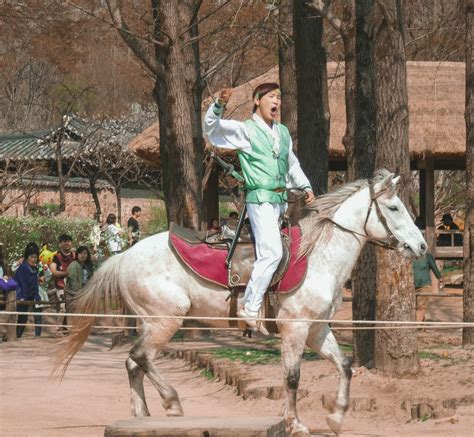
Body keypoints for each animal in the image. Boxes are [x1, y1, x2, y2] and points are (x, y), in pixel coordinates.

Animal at [55, 169, 426, 434]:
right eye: (394, 207)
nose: (421, 246)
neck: (318, 256)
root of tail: (124, 256)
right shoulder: (295, 329)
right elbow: (292, 377)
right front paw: (295, 424)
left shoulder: (317, 330)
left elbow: (345, 365)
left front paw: (335, 417)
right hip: (165, 321)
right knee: (140, 358)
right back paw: (172, 403)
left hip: (150, 323)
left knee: (133, 364)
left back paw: (142, 417)